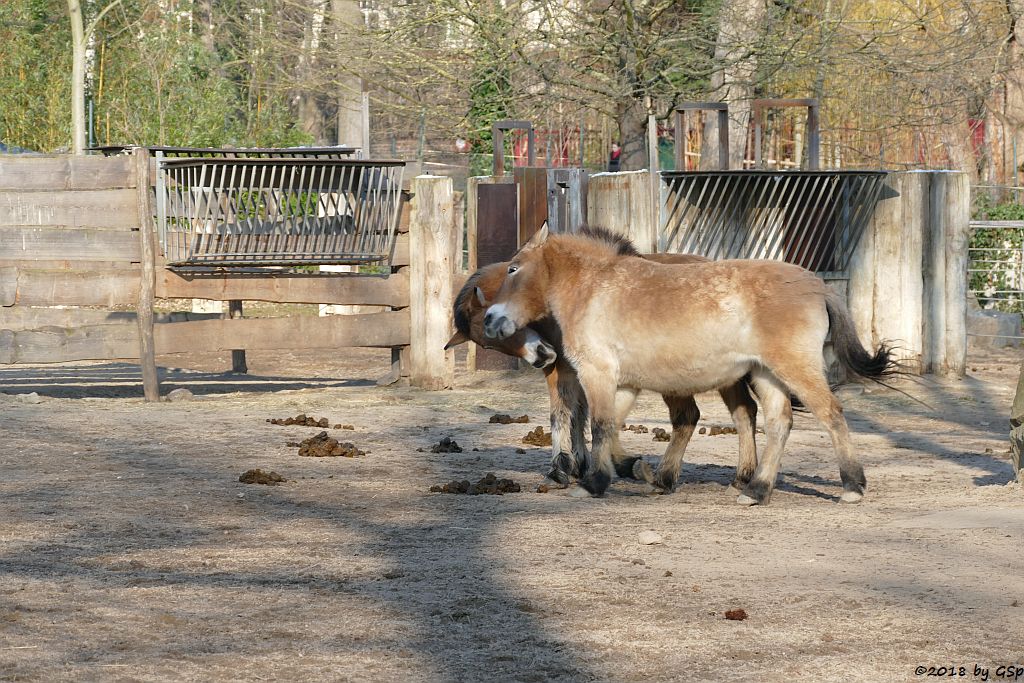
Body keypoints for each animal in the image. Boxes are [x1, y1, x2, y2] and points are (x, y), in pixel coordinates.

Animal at [448, 228, 761, 491]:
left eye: (498, 336)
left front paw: (568, 467)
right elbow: (582, 415)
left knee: (692, 416)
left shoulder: (572, 369)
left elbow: (568, 414)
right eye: (487, 344)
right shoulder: (576, 369)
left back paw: (673, 476)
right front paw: (584, 464)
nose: (541, 357)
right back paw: (740, 475)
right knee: (743, 411)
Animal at [481, 227, 897, 505]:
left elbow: (599, 426)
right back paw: (757, 489)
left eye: (513, 269)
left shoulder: (598, 373)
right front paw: (634, 470)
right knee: (778, 423)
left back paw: (851, 487)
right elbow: (611, 426)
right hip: (766, 374)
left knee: (831, 413)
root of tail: (817, 285)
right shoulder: (623, 382)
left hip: (794, 369)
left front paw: (594, 482)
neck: (594, 289)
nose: (490, 319)